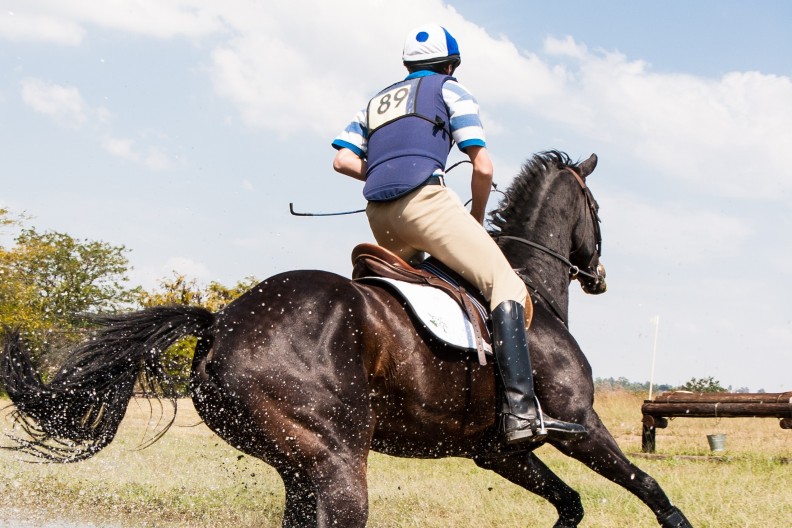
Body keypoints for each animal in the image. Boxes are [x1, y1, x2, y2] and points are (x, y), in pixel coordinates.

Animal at [0, 151, 688, 524]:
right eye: (597, 211)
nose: (600, 277)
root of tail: (222, 321)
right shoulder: (578, 426)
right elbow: (650, 489)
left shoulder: (497, 451)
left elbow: (569, 504)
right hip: (336, 461)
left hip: (301, 467)